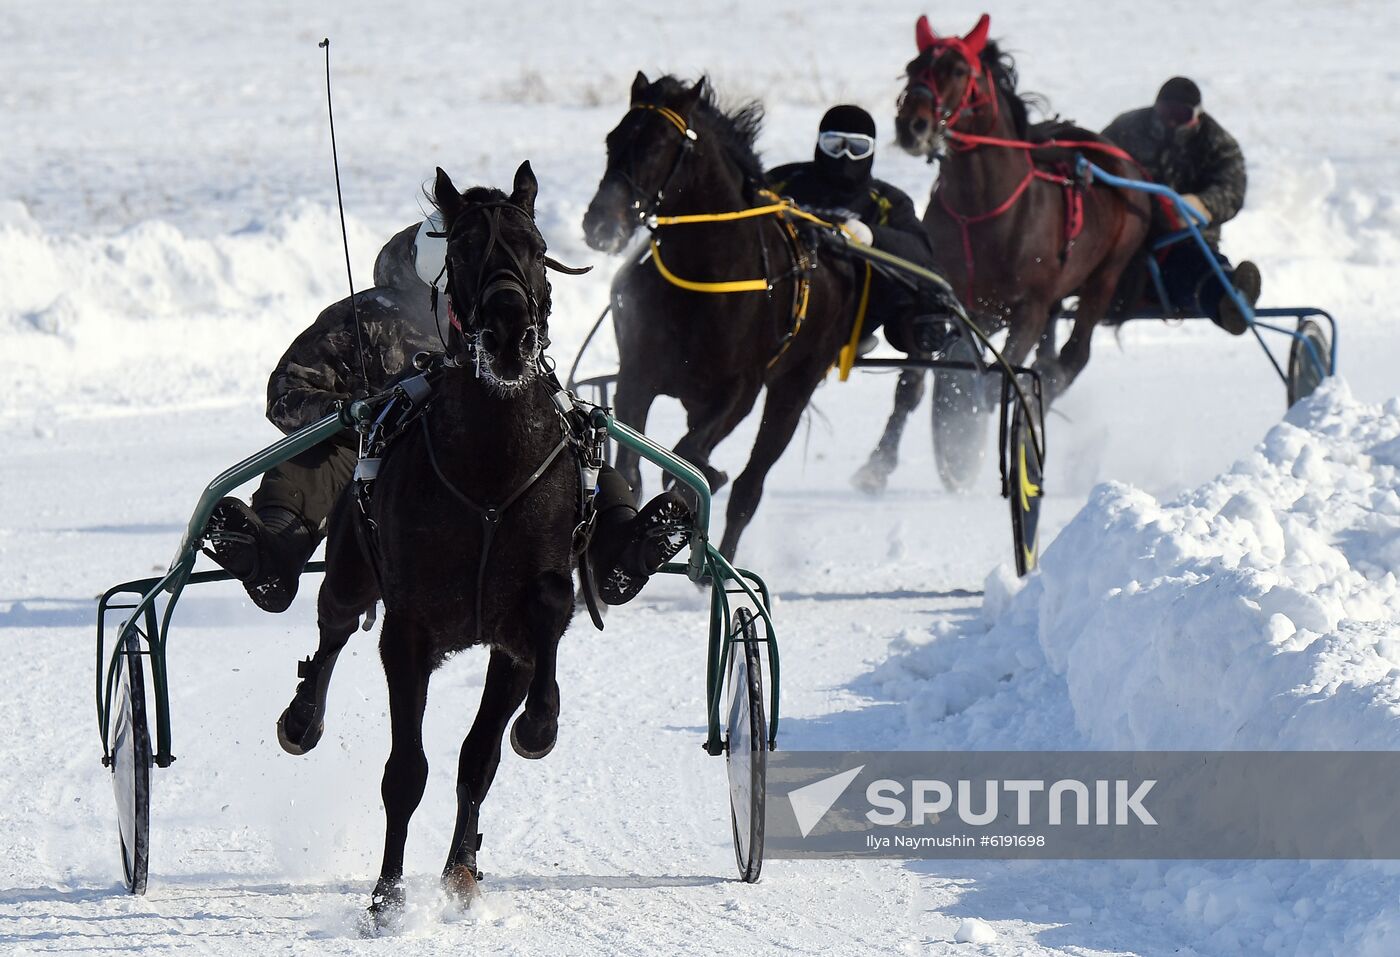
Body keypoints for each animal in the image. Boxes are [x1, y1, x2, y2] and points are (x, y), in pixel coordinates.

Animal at [275, 163, 580, 930]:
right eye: (466, 247)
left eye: (537, 246)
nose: (508, 329)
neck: (489, 474)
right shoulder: (409, 633)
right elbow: (405, 772)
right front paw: (386, 897)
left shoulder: (516, 629)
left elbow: (485, 750)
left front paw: (461, 871)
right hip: (351, 566)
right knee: (331, 626)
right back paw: (301, 718)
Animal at [582, 72, 859, 560]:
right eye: (612, 139)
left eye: (657, 146)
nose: (600, 225)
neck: (707, 275)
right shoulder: (637, 376)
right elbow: (635, 470)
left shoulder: (739, 391)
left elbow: (686, 457)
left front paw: (704, 480)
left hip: (793, 387)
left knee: (751, 485)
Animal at [858, 14, 1150, 489]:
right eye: (913, 66)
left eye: (959, 70)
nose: (912, 125)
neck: (981, 210)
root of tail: (1118, 157)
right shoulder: (949, 298)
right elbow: (911, 384)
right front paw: (877, 465)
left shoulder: (1027, 308)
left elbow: (998, 384)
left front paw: (966, 440)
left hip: (1105, 274)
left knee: (1071, 358)